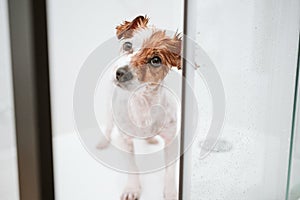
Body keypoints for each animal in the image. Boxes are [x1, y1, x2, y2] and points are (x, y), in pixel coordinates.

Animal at [98, 15, 182, 200]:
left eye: (156, 60)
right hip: (107, 110)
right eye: (128, 45)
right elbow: (132, 167)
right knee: (107, 127)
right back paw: (102, 141)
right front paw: (132, 188)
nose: (120, 73)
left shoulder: (171, 139)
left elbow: (170, 171)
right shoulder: (125, 140)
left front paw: (170, 192)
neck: (143, 103)